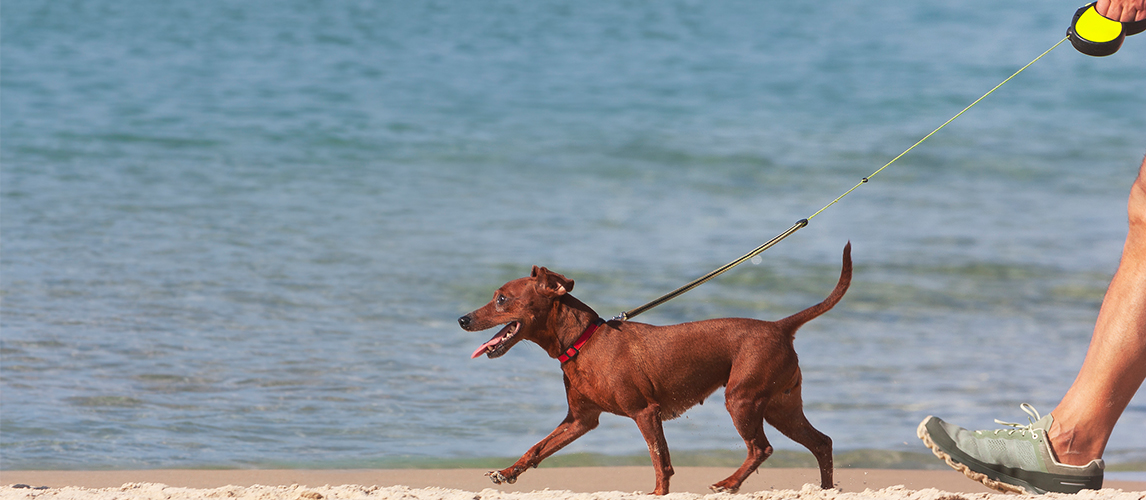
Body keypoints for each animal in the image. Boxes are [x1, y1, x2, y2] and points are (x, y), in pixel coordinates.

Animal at [458, 243, 852, 495]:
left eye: (502, 299)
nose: (462, 320)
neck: (583, 342)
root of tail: (780, 327)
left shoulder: (645, 412)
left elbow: (660, 460)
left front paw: (658, 492)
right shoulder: (579, 420)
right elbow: (537, 448)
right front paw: (507, 473)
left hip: (742, 400)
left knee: (761, 448)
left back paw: (728, 484)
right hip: (781, 407)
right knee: (822, 442)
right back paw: (825, 490)